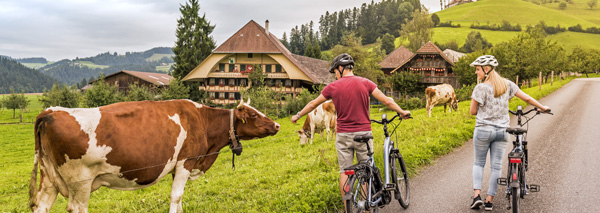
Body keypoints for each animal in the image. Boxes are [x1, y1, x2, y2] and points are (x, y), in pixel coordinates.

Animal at [28, 99, 278, 212]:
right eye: (254, 115)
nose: (276, 125)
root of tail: (49, 112)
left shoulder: (179, 167)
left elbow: (179, 197)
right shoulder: (185, 161)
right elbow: (176, 196)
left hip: (49, 177)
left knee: (41, 206)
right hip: (80, 182)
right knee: (76, 208)